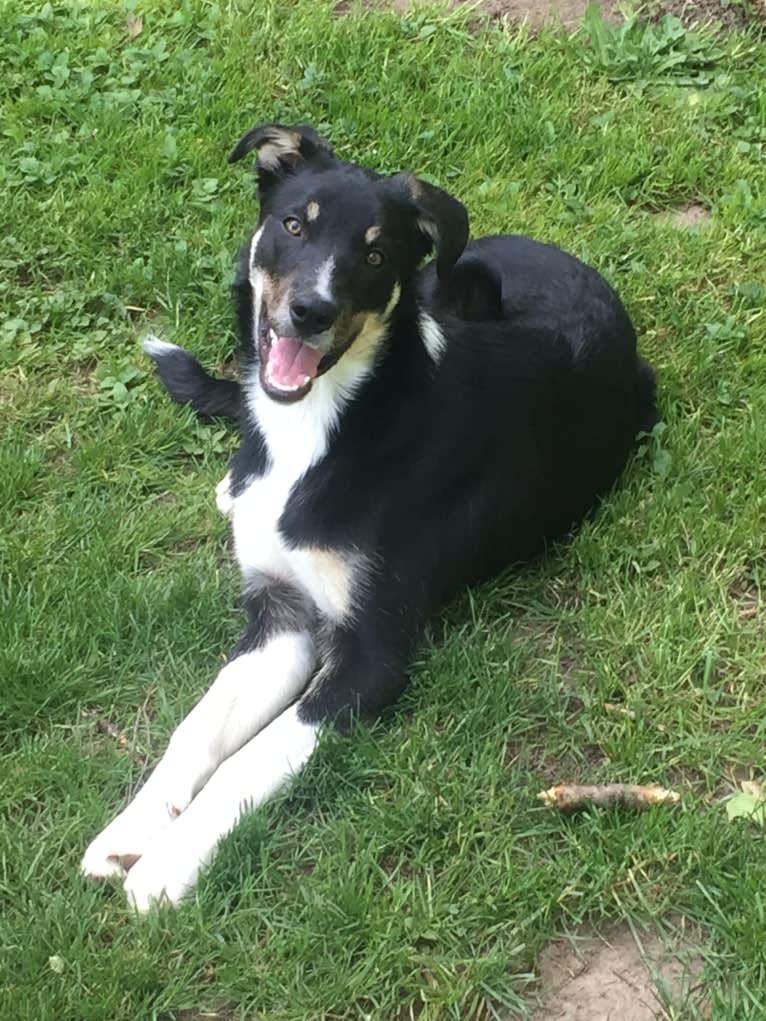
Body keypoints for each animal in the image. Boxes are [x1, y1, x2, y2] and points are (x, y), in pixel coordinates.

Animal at [82, 123, 661, 914]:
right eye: (294, 225)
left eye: (376, 254)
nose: (311, 312)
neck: (321, 426)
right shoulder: (281, 614)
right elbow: (197, 729)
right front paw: (132, 828)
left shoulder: (371, 655)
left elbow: (248, 759)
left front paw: (168, 864)